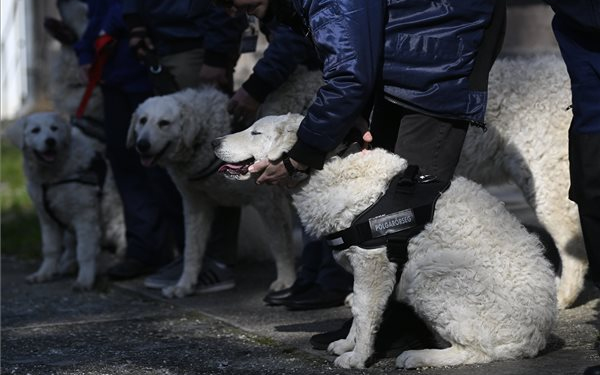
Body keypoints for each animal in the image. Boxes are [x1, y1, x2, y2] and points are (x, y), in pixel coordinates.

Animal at [3, 112, 126, 290]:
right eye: (35, 130)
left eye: (54, 128)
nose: (50, 141)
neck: (51, 178)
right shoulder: (47, 219)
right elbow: (50, 249)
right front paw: (44, 273)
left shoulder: (85, 217)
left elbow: (85, 252)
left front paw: (84, 280)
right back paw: (66, 266)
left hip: (114, 226)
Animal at [212, 114, 556, 370]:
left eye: (255, 132)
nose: (214, 142)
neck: (330, 168)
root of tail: (536, 337)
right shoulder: (362, 267)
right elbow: (357, 310)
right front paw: (348, 344)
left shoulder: (373, 262)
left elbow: (365, 313)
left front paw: (357, 358)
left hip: (429, 276)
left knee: (478, 350)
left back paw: (419, 356)